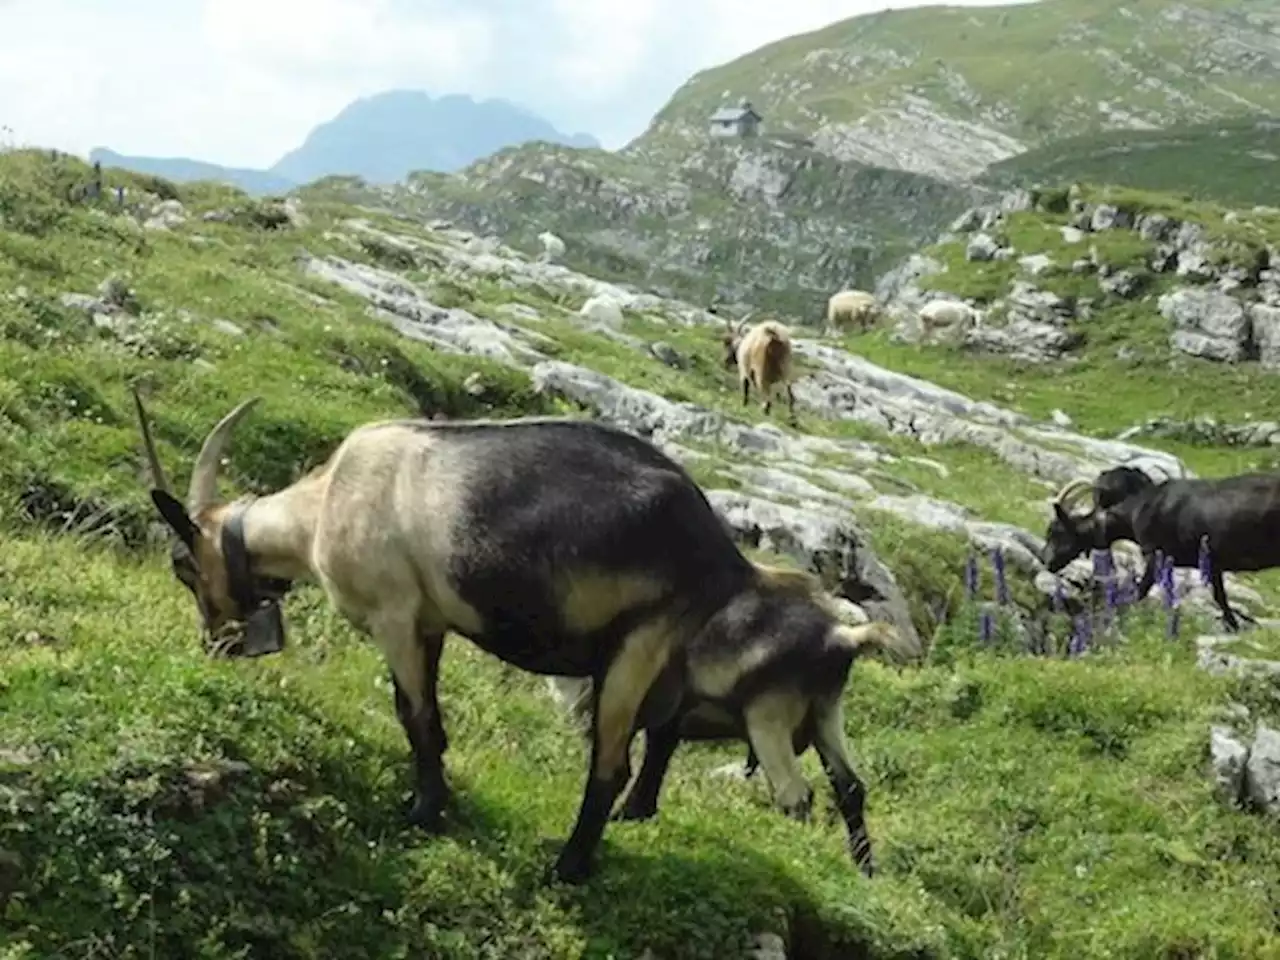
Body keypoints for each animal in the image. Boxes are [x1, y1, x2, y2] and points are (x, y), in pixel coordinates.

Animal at [124, 391, 896, 885]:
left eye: (185, 566)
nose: (219, 645)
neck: (323, 508)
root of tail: (720, 553)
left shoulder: (395, 615)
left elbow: (413, 714)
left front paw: (423, 812)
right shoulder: (429, 622)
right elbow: (434, 720)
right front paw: (439, 799)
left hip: (640, 645)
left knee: (610, 761)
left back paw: (568, 869)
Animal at [1039, 471, 1280, 634]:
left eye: (1056, 531)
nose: (1046, 560)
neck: (1140, 508)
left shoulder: (1155, 555)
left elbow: (1140, 590)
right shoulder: (1212, 561)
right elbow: (1219, 595)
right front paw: (1233, 626)